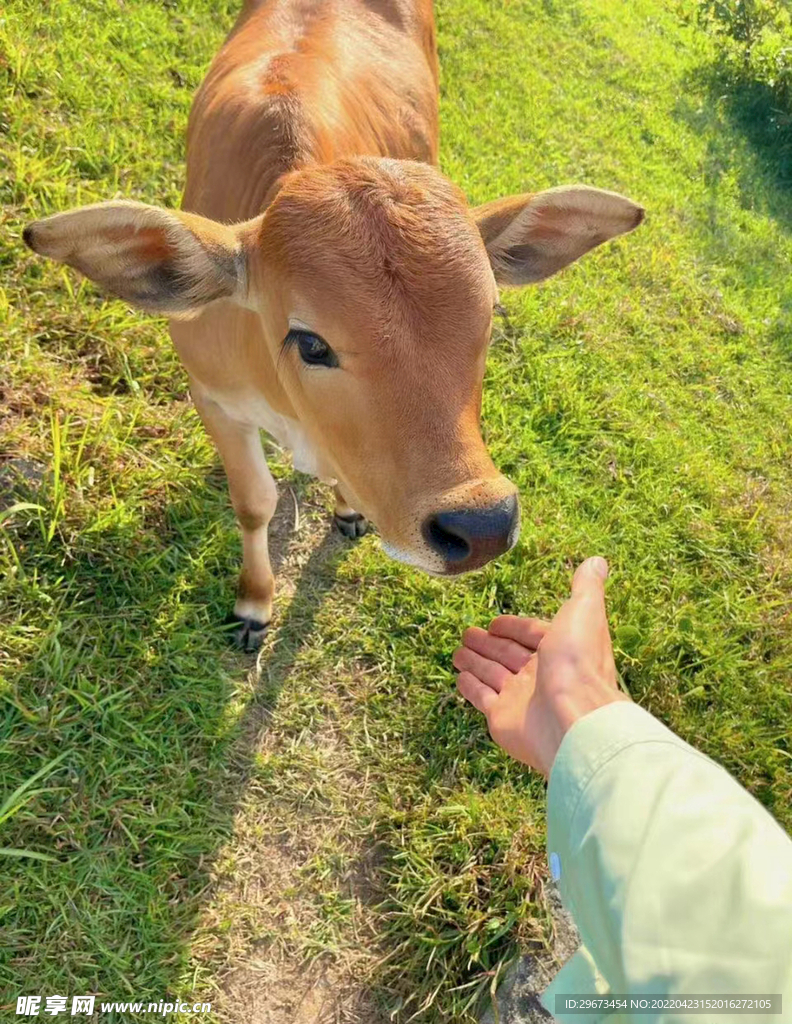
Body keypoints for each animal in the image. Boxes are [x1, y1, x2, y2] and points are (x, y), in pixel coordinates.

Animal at [24, 2, 643, 647]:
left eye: (490, 318)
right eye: (311, 342)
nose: (482, 526)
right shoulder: (211, 396)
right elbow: (254, 502)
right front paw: (254, 603)